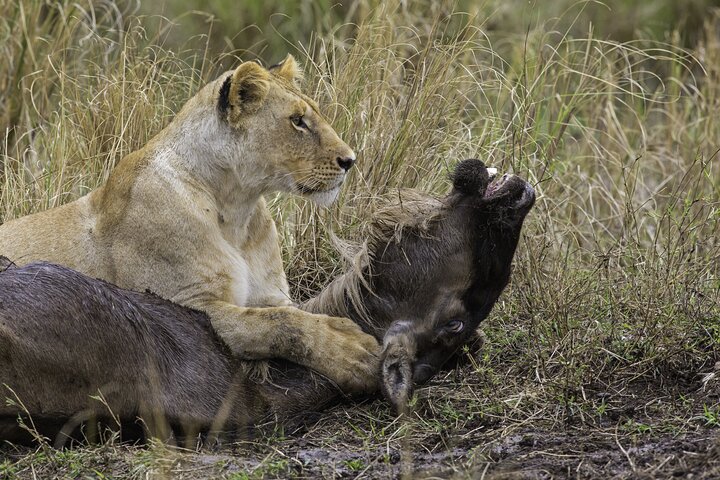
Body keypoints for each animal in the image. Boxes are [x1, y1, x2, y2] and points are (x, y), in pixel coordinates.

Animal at [0, 55, 379, 394]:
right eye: (298, 121)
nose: (350, 160)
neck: (236, 208)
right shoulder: (185, 306)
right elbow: (277, 324)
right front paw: (352, 352)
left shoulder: (272, 294)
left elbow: (298, 314)